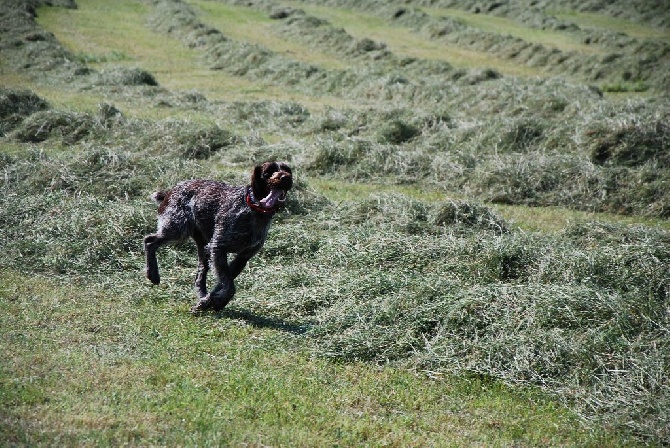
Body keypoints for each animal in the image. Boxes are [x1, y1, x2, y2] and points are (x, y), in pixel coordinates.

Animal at [144, 163, 294, 314]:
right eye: (268, 172)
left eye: (287, 170)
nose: (286, 177)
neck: (254, 210)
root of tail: (172, 189)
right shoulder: (218, 248)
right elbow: (229, 286)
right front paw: (216, 302)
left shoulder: (242, 258)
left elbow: (222, 284)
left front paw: (208, 302)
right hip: (177, 229)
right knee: (149, 241)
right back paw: (152, 274)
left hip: (202, 246)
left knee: (199, 276)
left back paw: (201, 294)